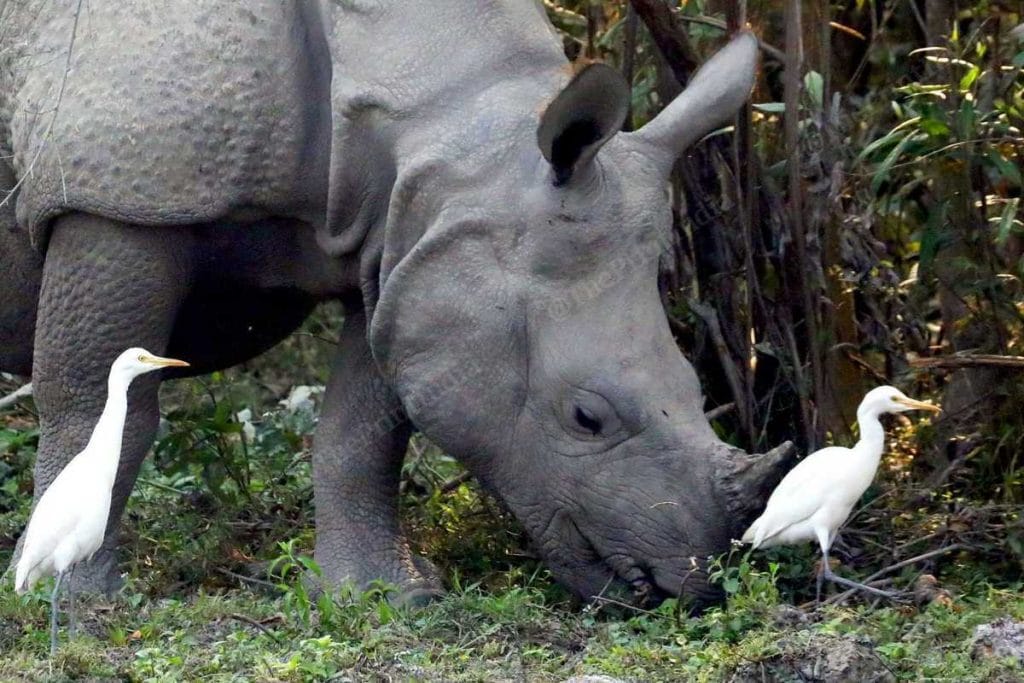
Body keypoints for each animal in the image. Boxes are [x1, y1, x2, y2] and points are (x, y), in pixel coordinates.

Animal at [0, 0, 791, 605]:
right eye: (585, 417)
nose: (693, 585)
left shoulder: (411, 243)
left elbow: (364, 430)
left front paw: (387, 596)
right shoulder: (115, 200)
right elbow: (100, 411)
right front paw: (74, 596)